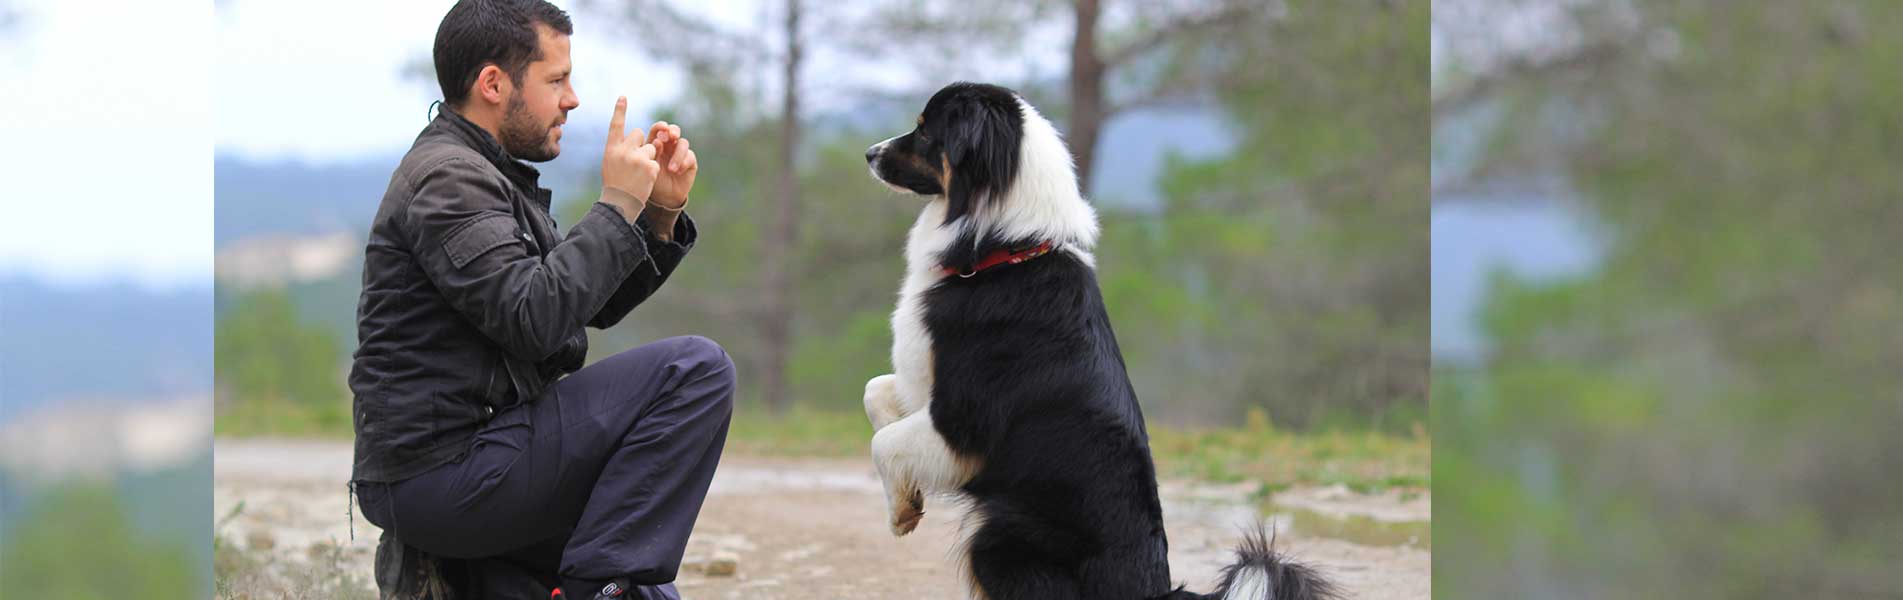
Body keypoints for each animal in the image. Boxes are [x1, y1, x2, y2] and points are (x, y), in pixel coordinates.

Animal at [863, 80, 1339, 600]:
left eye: (926, 131)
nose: (869, 153)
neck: (1002, 250)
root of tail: (1152, 588)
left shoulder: (963, 419)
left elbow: (884, 443)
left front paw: (900, 513)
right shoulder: (923, 385)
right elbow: (876, 395)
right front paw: (907, 498)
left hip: (997, 536)